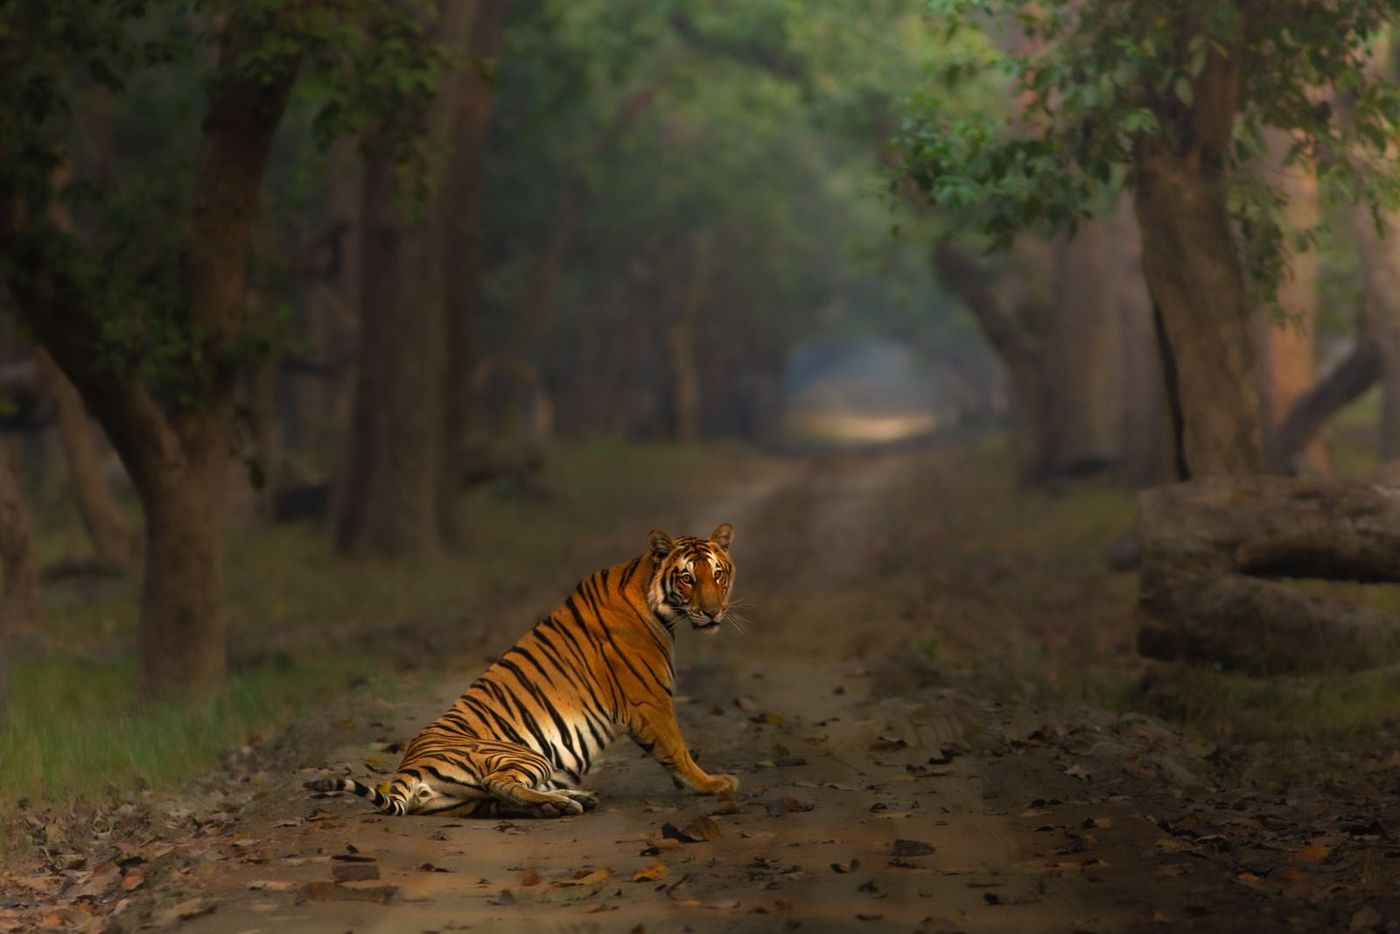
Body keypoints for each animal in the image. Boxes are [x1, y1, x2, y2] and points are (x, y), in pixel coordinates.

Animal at [305, 523, 740, 818]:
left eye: (718, 574)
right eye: (687, 578)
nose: (713, 611)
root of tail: (406, 767)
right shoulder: (649, 700)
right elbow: (677, 748)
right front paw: (711, 784)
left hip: (468, 798)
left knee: (497, 798)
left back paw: (568, 799)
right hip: (518, 753)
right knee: (500, 783)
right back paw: (562, 804)